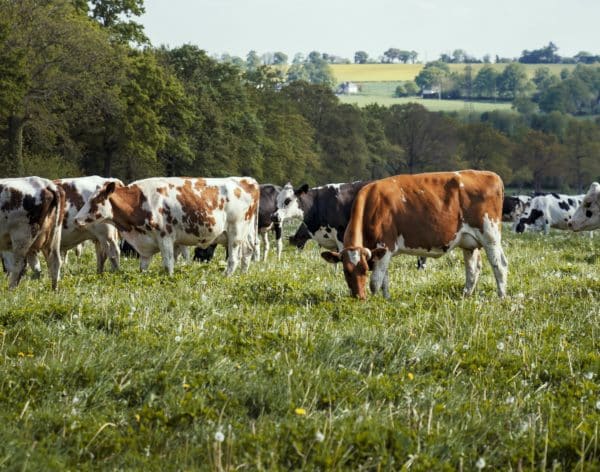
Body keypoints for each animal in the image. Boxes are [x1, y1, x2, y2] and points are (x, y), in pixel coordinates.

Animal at [74, 177, 258, 274]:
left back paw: (227, 276)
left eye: (95, 200)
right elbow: (143, 267)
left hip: (235, 233)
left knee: (233, 258)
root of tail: (245, 181)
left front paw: (169, 278)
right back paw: (243, 274)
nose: (76, 219)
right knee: (248, 251)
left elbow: (168, 263)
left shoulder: (166, 237)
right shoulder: (145, 244)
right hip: (244, 234)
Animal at [322, 171, 508, 300]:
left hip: (490, 235)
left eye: (364, 269)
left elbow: (375, 282)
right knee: (472, 269)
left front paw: (374, 301)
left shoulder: (385, 246)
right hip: (469, 242)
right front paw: (386, 299)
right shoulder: (381, 253)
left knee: (499, 265)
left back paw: (501, 297)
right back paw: (465, 296)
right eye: (346, 271)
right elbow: (384, 280)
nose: (359, 297)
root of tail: (490, 174)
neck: (372, 204)